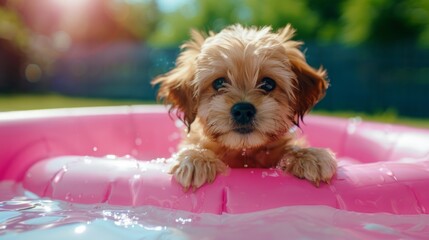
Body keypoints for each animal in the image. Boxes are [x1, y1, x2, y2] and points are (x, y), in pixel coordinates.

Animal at [152, 23, 336, 190]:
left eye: (268, 84)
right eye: (219, 83)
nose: (243, 110)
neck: (244, 152)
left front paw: (309, 156)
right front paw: (197, 158)